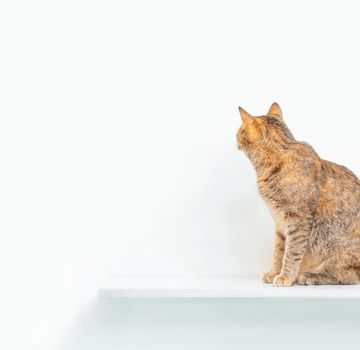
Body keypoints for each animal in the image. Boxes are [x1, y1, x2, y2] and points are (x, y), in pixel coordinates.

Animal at [238, 103, 360, 288]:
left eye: (239, 130)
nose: (235, 137)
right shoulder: (280, 222)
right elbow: (279, 251)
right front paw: (275, 272)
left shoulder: (298, 220)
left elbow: (292, 251)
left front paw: (286, 276)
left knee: (349, 275)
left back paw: (312, 276)